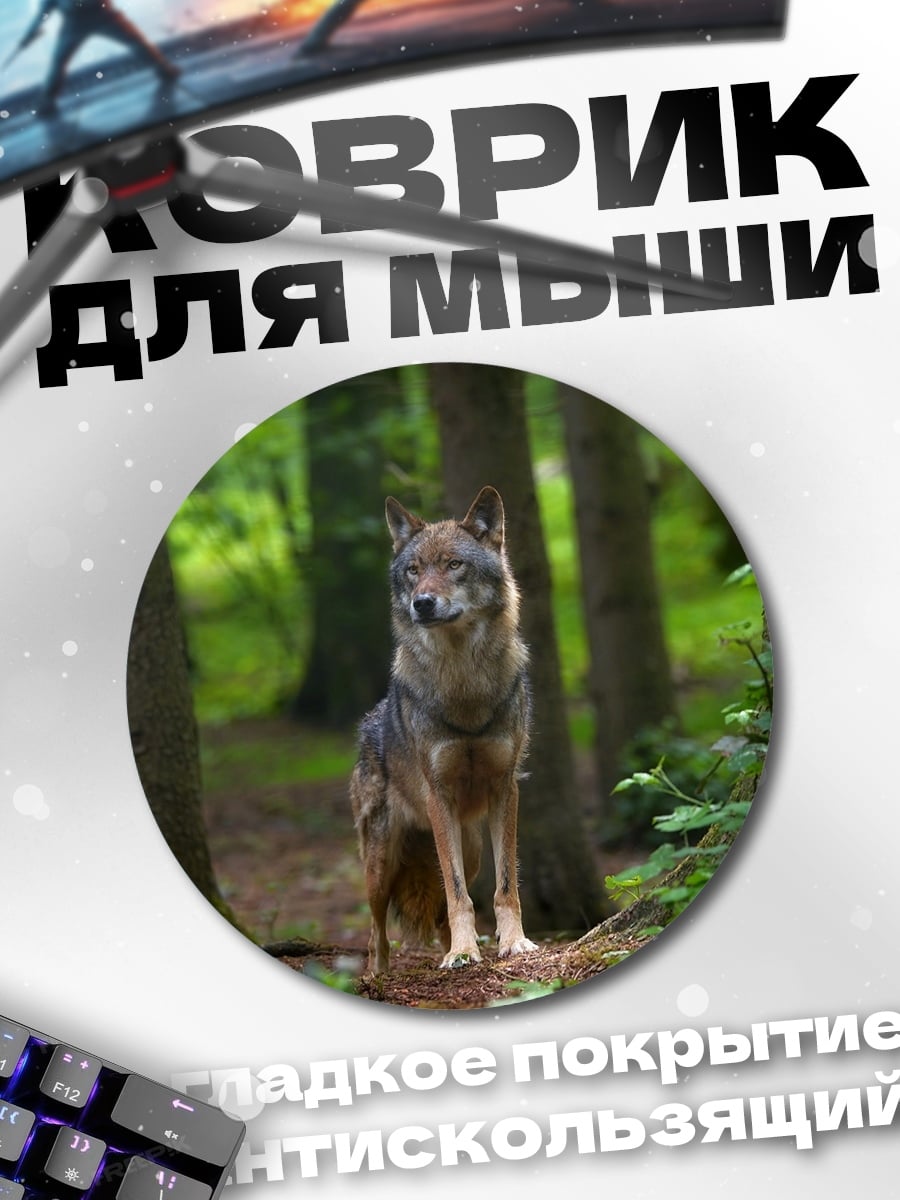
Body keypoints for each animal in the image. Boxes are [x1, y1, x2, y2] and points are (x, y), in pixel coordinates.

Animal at [350, 485, 537, 972]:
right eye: (413, 571)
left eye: (454, 564)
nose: (423, 602)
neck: (462, 686)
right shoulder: (438, 796)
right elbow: (457, 896)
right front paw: (465, 953)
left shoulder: (505, 788)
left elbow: (504, 887)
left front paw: (512, 943)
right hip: (380, 864)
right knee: (376, 931)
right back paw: (377, 975)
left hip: (468, 848)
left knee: (440, 913)